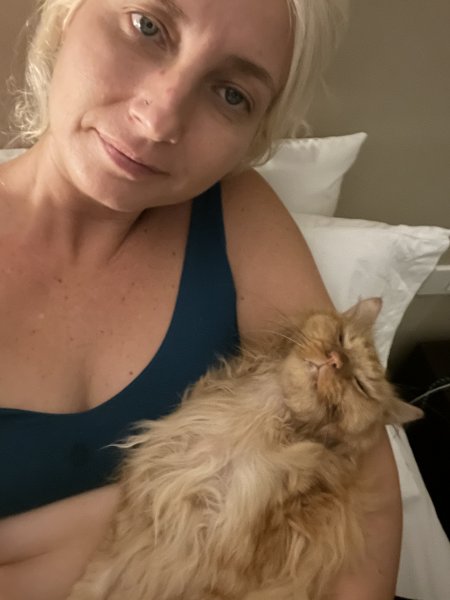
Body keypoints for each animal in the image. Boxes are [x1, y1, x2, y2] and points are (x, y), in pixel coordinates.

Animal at [68, 297, 422, 600]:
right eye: (341, 338)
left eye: (360, 385)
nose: (336, 360)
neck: (251, 426)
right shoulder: (134, 525)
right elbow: (92, 585)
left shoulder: (216, 578)